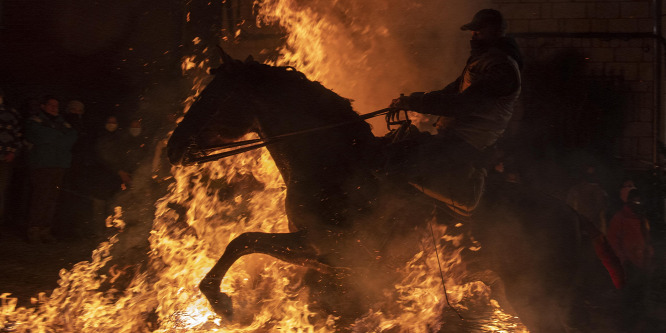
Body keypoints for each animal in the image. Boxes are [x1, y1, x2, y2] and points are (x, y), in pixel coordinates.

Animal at [167, 51, 624, 330]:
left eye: (213, 97)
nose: (173, 147)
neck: (334, 162)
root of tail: (576, 217)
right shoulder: (325, 260)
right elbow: (246, 243)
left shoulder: (324, 247)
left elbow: (242, 240)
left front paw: (222, 302)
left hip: (534, 296)